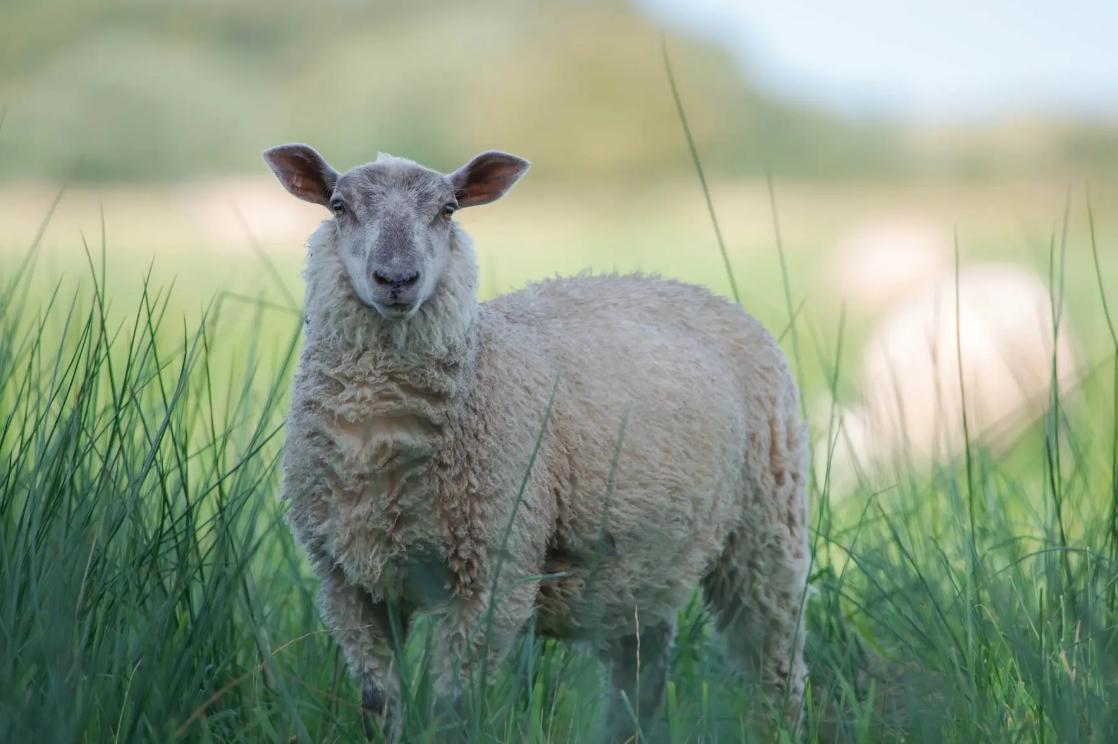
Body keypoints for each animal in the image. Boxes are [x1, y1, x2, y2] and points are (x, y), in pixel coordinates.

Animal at [257, 142, 809, 733]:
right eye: (339, 206)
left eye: (448, 209)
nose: (397, 278)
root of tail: (688, 286)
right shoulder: (348, 584)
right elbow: (378, 704)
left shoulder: (492, 577)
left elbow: (453, 708)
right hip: (642, 563)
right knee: (642, 669)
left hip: (767, 530)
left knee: (776, 658)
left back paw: (779, 724)